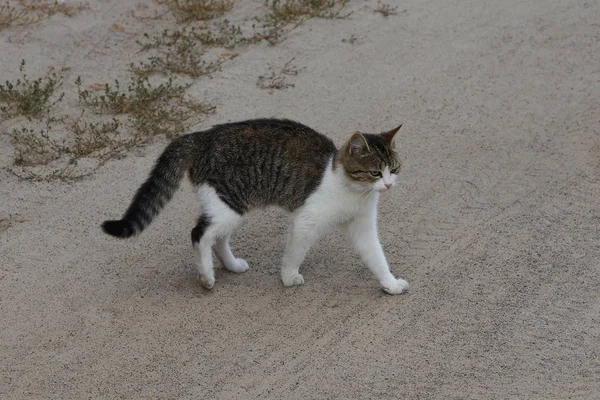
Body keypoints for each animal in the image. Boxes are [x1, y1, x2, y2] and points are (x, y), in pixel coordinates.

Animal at [103, 118, 410, 294]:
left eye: (394, 169)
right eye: (375, 173)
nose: (388, 185)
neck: (352, 191)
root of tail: (201, 136)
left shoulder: (363, 226)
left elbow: (376, 257)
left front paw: (390, 283)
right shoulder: (306, 221)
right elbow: (294, 253)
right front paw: (288, 278)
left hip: (229, 207)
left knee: (217, 238)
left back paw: (230, 266)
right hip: (229, 203)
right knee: (199, 234)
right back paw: (206, 276)